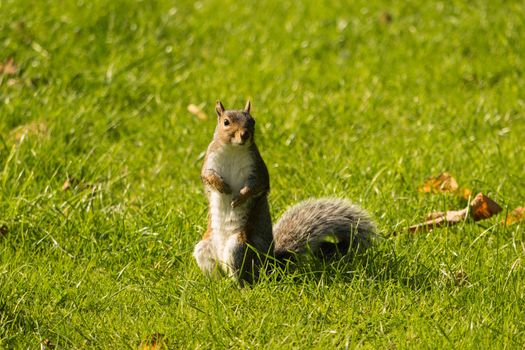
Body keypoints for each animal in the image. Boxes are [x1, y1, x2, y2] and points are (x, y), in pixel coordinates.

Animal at [193, 100, 376, 284]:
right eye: (226, 122)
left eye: (252, 121)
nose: (245, 135)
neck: (233, 149)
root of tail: (269, 264)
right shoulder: (210, 160)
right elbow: (207, 175)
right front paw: (223, 187)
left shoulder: (258, 169)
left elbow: (256, 186)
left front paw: (239, 198)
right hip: (204, 249)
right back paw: (216, 284)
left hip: (238, 246)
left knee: (243, 276)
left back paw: (237, 285)